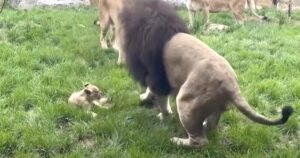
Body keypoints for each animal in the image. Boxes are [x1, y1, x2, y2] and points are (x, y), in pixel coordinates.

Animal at [120, 0, 292, 148]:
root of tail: (232, 85)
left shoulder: (156, 74)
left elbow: (160, 99)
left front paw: (163, 115)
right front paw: (145, 98)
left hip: (186, 102)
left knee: (200, 141)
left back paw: (177, 141)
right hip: (215, 107)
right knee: (211, 125)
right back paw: (202, 126)